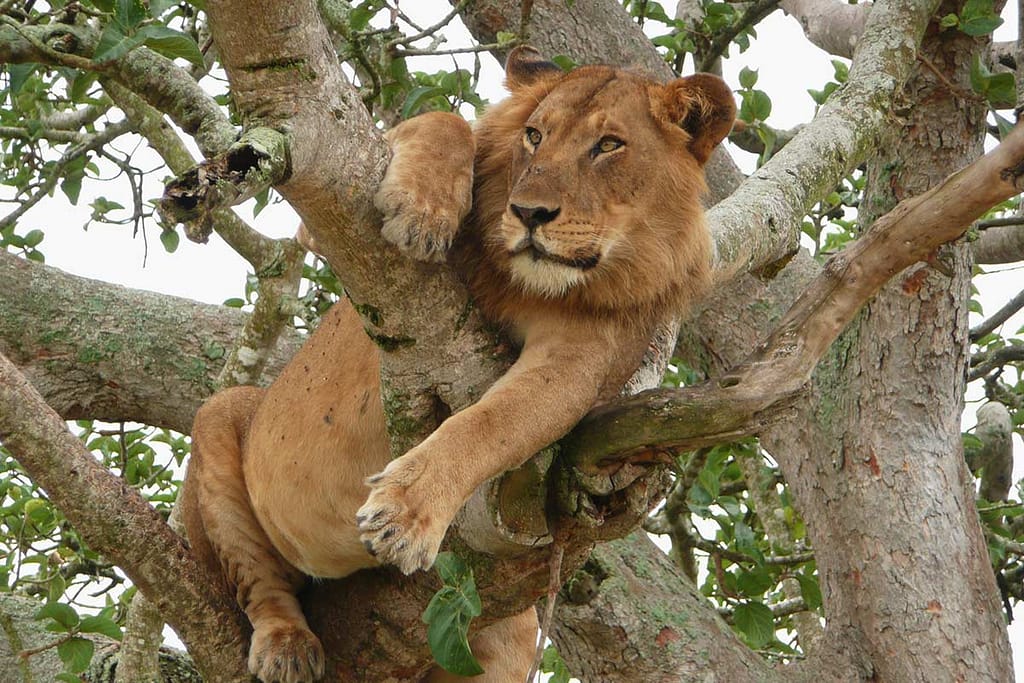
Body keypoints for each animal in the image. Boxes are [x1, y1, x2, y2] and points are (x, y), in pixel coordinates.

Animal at [181, 46, 735, 683]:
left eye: (609, 145)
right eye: (535, 136)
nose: (529, 213)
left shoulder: (582, 358)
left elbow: (490, 425)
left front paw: (404, 513)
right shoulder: (320, 215)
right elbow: (448, 123)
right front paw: (423, 212)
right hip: (222, 419)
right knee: (259, 583)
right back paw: (287, 646)